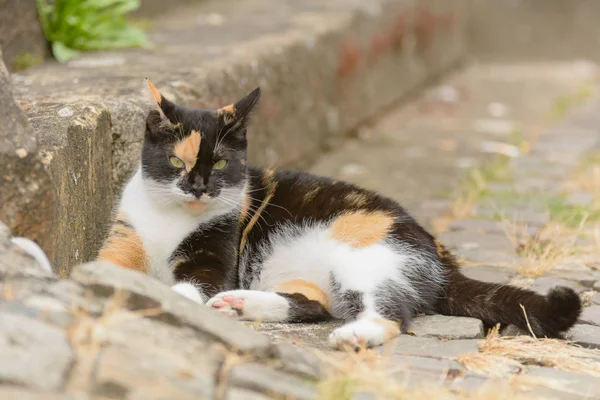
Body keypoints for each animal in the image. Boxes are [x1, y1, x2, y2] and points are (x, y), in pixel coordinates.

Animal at [97, 79, 580, 350]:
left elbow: (194, 283)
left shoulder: (216, 254)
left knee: (389, 311)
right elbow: (106, 266)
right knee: (314, 303)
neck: (171, 217)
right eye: (176, 162)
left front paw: (165, 298)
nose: (198, 187)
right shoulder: (124, 235)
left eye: (218, 164)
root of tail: (442, 256)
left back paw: (355, 335)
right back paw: (241, 304)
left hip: (369, 257)